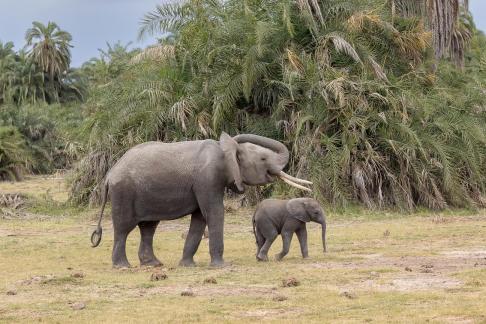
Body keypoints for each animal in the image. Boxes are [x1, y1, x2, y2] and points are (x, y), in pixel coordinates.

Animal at [91, 133, 312, 268]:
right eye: (264, 159)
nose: (311, 187)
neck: (226, 151)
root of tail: (109, 175)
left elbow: (200, 218)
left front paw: (188, 266)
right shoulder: (208, 179)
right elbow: (213, 213)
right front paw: (222, 266)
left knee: (148, 227)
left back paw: (154, 264)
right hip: (124, 192)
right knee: (124, 228)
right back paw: (123, 266)